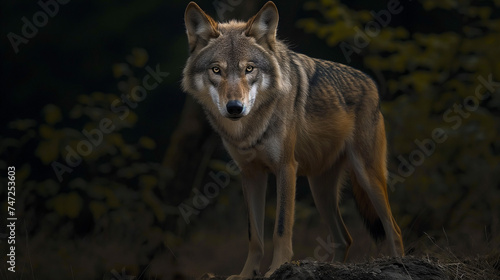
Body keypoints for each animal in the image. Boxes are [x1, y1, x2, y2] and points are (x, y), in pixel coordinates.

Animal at [182, 1, 404, 278]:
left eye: (249, 69)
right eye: (216, 70)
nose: (234, 107)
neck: (250, 128)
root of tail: (371, 83)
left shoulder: (286, 167)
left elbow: (280, 229)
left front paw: (277, 268)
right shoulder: (251, 174)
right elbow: (254, 236)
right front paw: (246, 274)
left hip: (367, 176)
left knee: (393, 229)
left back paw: (399, 263)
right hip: (320, 190)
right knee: (345, 238)